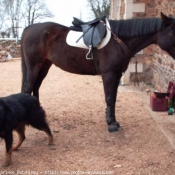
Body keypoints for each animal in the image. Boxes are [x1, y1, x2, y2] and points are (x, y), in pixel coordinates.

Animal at [20, 12, 175, 132]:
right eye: (173, 32)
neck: (118, 41)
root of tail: (30, 28)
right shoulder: (108, 74)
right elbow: (109, 98)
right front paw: (111, 125)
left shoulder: (117, 75)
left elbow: (113, 98)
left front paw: (113, 121)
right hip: (34, 66)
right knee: (28, 89)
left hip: (44, 66)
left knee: (36, 87)